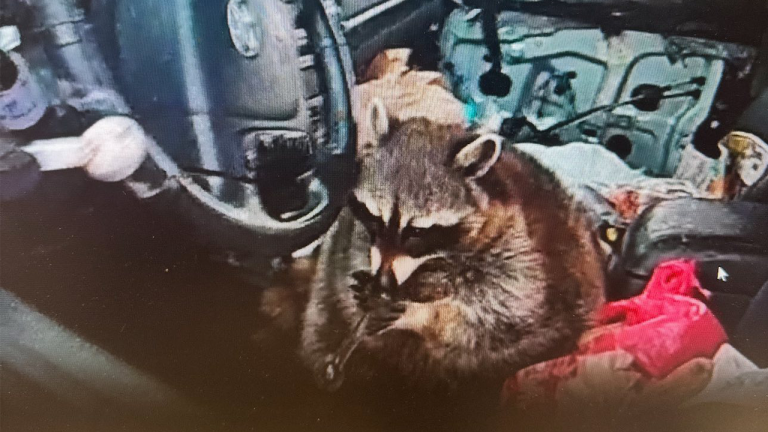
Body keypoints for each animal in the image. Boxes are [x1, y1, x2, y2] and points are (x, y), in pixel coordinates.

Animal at [300, 99, 605, 390]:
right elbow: (350, 261)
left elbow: (496, 314)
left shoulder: (520, 251)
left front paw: (421, 309)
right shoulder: (354, 235)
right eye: (375, 217)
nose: (384, 284)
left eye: (417, 231)